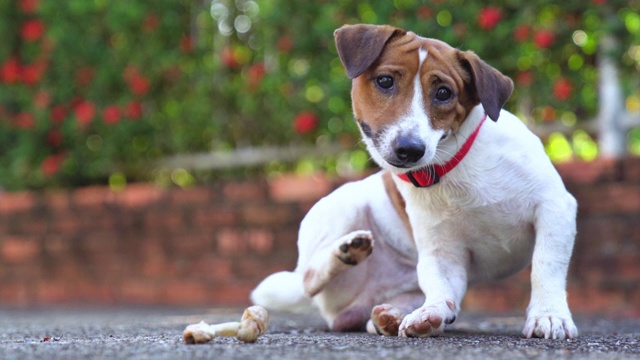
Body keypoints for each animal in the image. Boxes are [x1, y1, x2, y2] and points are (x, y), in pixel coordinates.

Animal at [252, 24, 576, 340]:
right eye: (385, 81)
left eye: (444, 93)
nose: (409, 148)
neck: (455, 168)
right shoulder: (440, 251)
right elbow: (441, 286)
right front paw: (431, 312)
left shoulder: (555, 209)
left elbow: (545, 266)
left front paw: (549, 314)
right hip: (344, 206)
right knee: (308, 278)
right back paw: (347, 252)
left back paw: (389, 315)